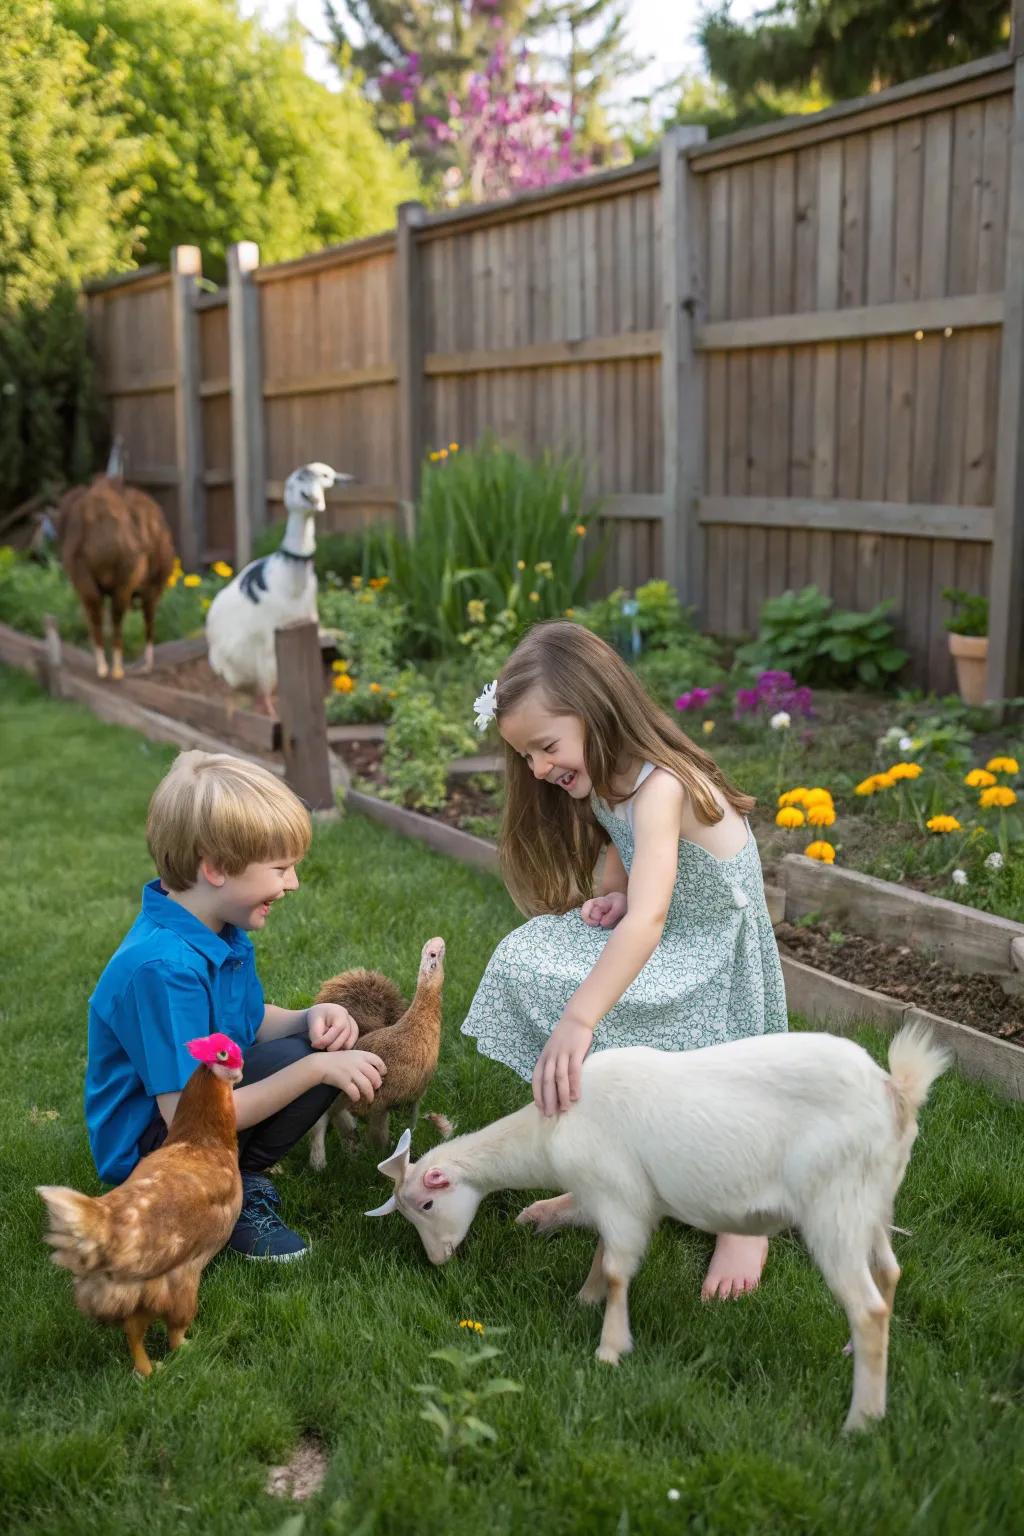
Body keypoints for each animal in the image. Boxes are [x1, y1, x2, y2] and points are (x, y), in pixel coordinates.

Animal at [363, 1026, 951, 1431]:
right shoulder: (611, 1197)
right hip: (870, 1203)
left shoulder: (620, 1195)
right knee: (889, 1275)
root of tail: (897, 1093)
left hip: (835, 1206)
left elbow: (619, 1268)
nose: (437, 1262)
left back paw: (861, 1420)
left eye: (426, 1204)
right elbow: (602, 1256)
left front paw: (609, 1348)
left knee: (868, 1307)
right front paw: (585, 1300)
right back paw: (855, 1356)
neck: (550, 1133)